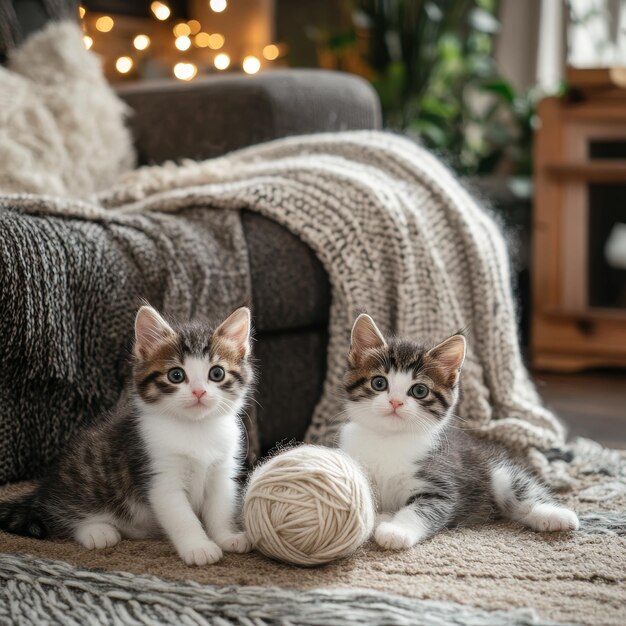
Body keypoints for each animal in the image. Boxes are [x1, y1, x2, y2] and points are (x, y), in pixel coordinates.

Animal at [0, 304, 254, 564]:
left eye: (217, 373)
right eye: (176, 375)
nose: (199, 392)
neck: (195, 427)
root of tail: (45, 488)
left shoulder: (221, 471)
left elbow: (220, 508)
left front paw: (226, 537)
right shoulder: (157, 473)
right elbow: (183, 517)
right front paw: (198, 547)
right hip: (82, 479)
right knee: (62, 514)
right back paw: (96, 531)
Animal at [338, 314, 576, 548]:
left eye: (420, 390)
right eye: (379, 383)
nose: (395, 402)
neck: (390, 438)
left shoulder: (442, 484)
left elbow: (423, 510)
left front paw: (397, 531)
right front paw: (379, 518)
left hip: (497, 472)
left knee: (522, 489)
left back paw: (557, 516)